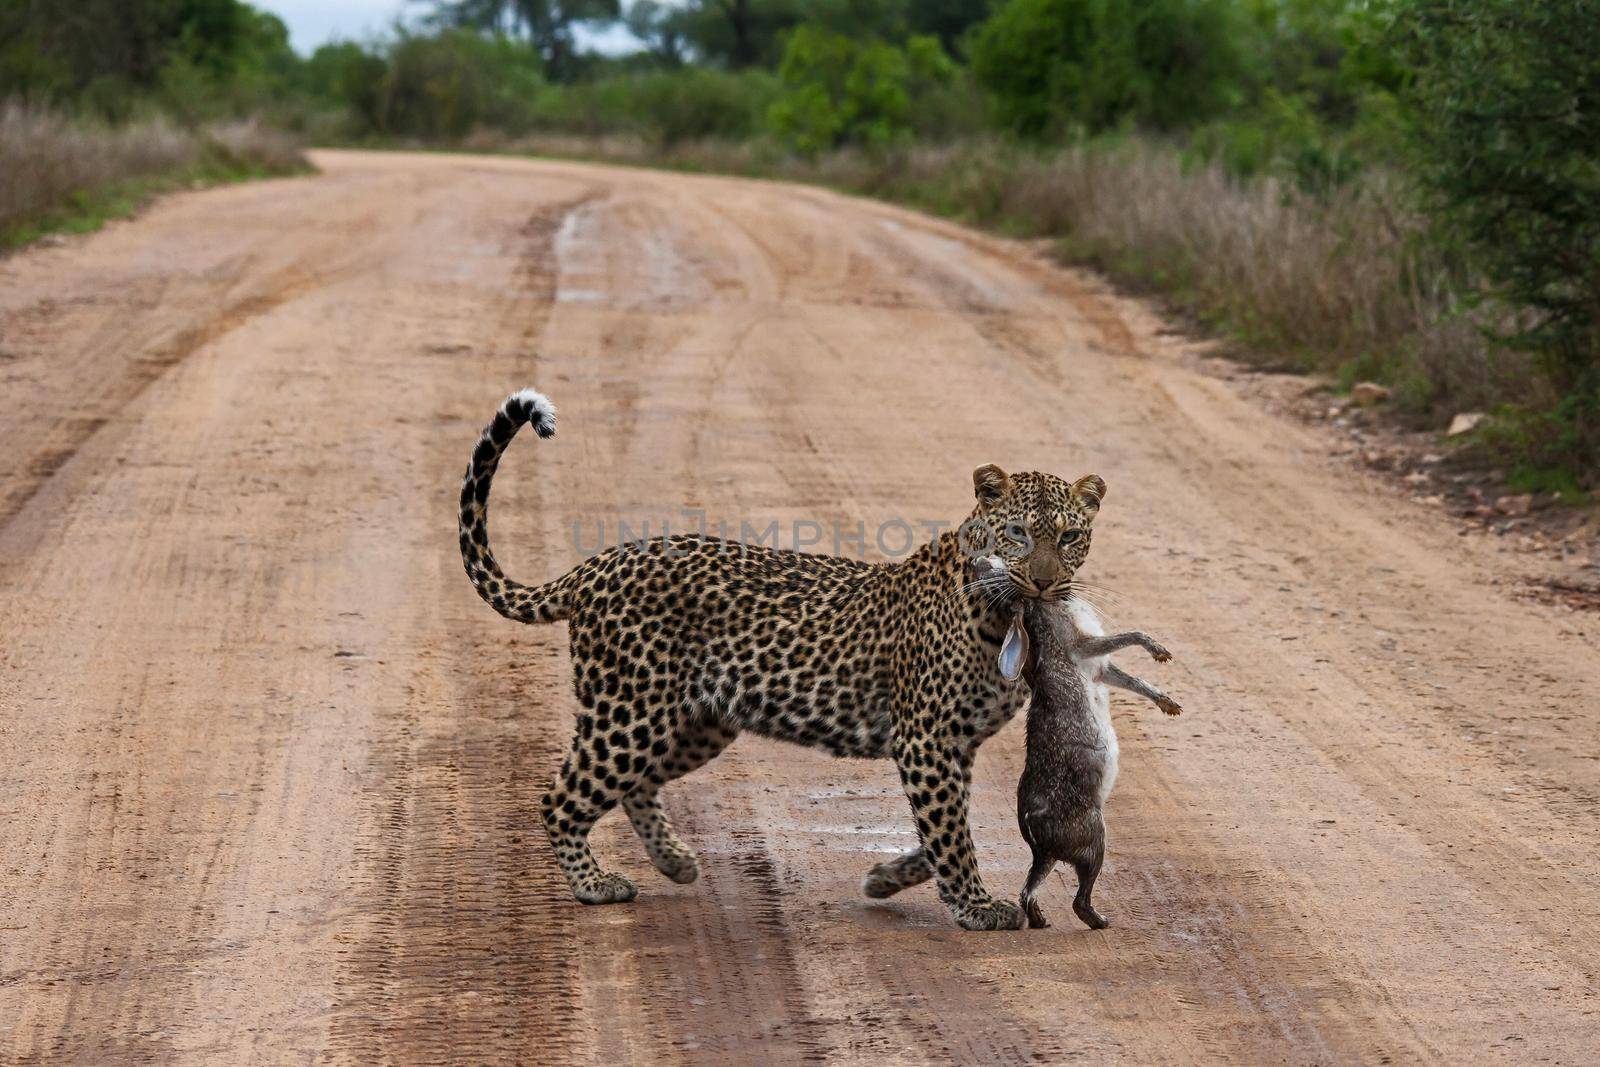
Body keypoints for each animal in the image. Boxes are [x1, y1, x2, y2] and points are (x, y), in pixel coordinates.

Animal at [457, 388, 1107, 927]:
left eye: (1069, 537)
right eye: (1018, 534)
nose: (1045, 582)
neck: (1004, 611)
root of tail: (596, 564)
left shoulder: (956, 745)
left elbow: (944, 826)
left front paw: (885, 878)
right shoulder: (929, 738)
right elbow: (949, 829)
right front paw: (975, 906)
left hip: (696, 721)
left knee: (636, 787)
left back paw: (675, 862)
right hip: (629, 713)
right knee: (561, 798)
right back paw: (594, 885)